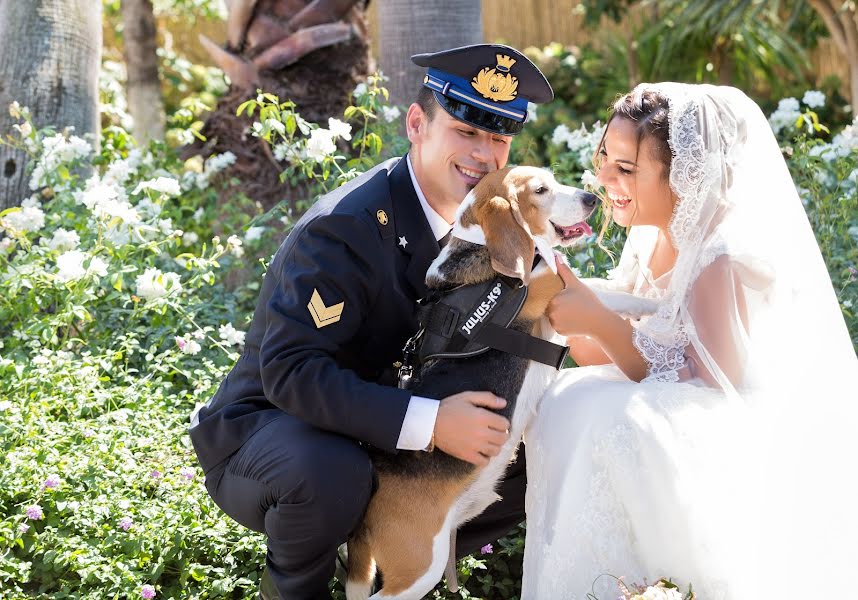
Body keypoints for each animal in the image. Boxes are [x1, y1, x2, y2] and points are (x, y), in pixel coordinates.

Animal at [344, 165, 600, 600]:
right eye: (541, 190)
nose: (592, 199)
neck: (480, 248)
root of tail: (365, 512)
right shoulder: (549, 288)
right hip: (420, 567)